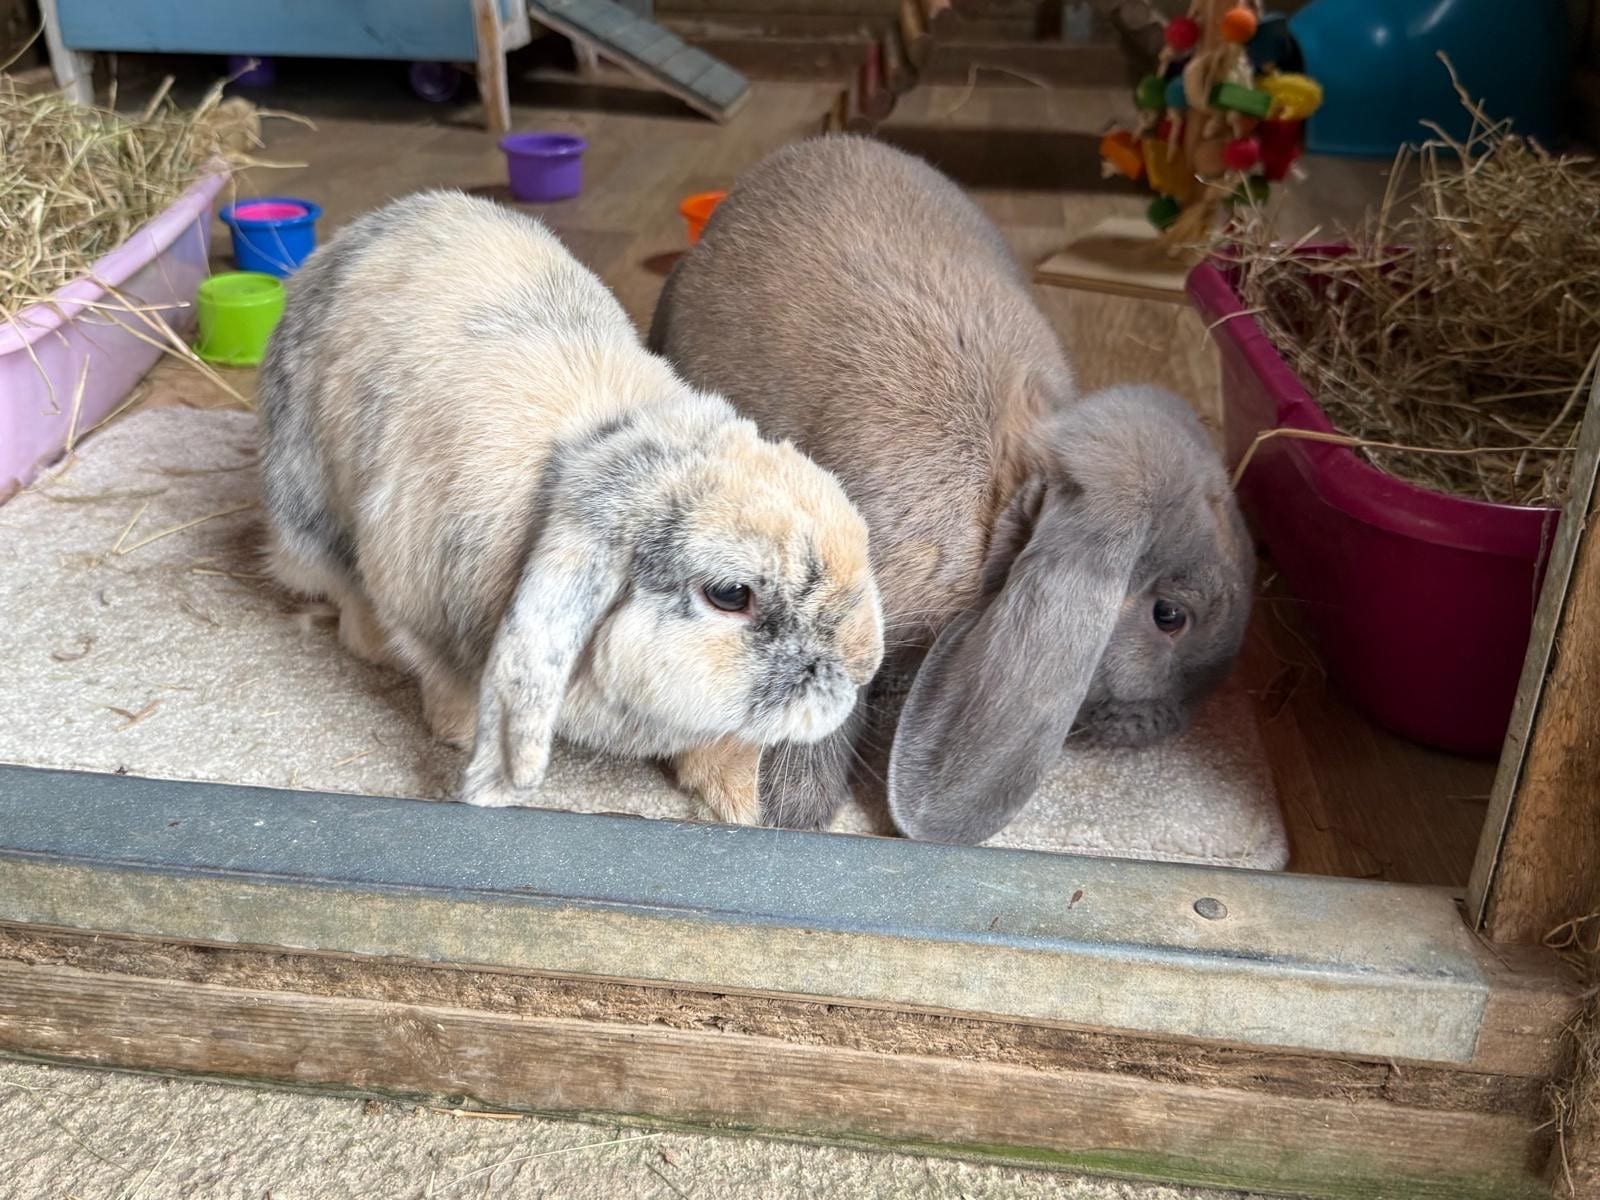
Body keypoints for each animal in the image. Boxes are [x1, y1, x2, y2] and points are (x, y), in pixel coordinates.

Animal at [255, 189, 884, 823]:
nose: (864, 665)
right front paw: (459, 735)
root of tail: (370, 224)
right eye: (731, 594)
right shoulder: (424, 615)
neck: (609, 444)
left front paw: (738, 803)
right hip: (305, 512)